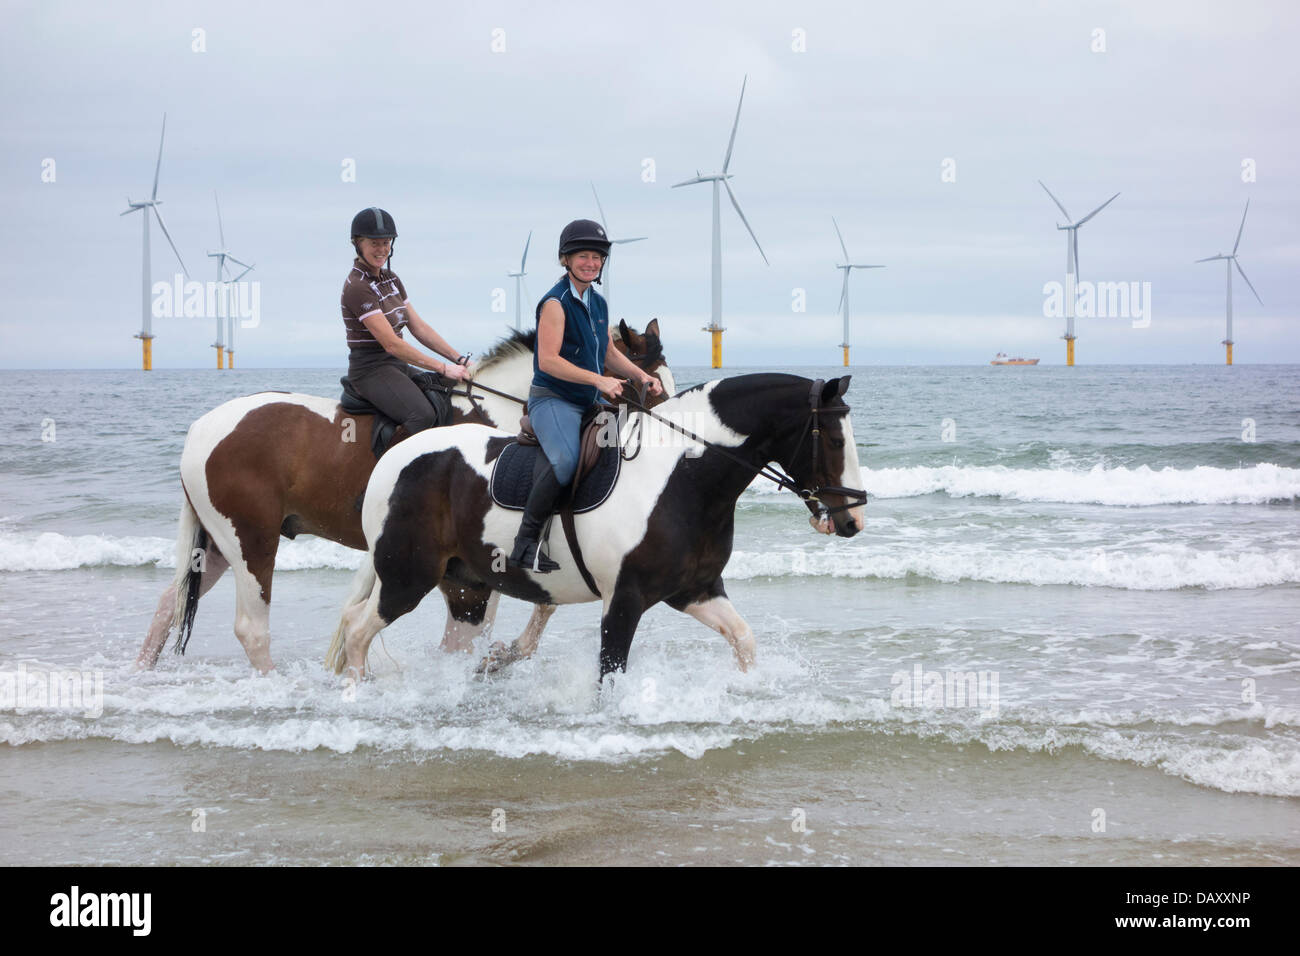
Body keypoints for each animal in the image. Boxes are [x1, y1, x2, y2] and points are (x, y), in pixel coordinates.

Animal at [137, 317, 676, 671]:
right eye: (653, 387)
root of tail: (202, 429)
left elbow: (532, 605)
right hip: (251, 542)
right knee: (251, 627)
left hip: (219, 544)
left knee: (169, 602)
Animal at [323, 374, 863, 681]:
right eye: (835, 440)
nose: (853, 519)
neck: (679, 477)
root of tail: (391, 460)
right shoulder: (623, 600)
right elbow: (610, 674)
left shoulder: (695, 589)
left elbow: (744, 639)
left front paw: (746, 691)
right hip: (406, 577)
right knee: (357, 630)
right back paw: (356, 696)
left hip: (467, 591)